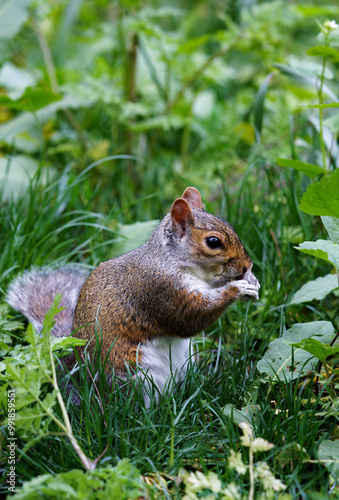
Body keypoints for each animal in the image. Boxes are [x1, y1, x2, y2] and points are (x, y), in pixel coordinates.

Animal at [5, 188, 260, 402]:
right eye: (213, 241)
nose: (247, 264)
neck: (174, 260)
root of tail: (83, 384)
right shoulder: (160, 290)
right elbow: (189, 319)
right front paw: (237, 289)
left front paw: (251, 280)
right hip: (135, 376)